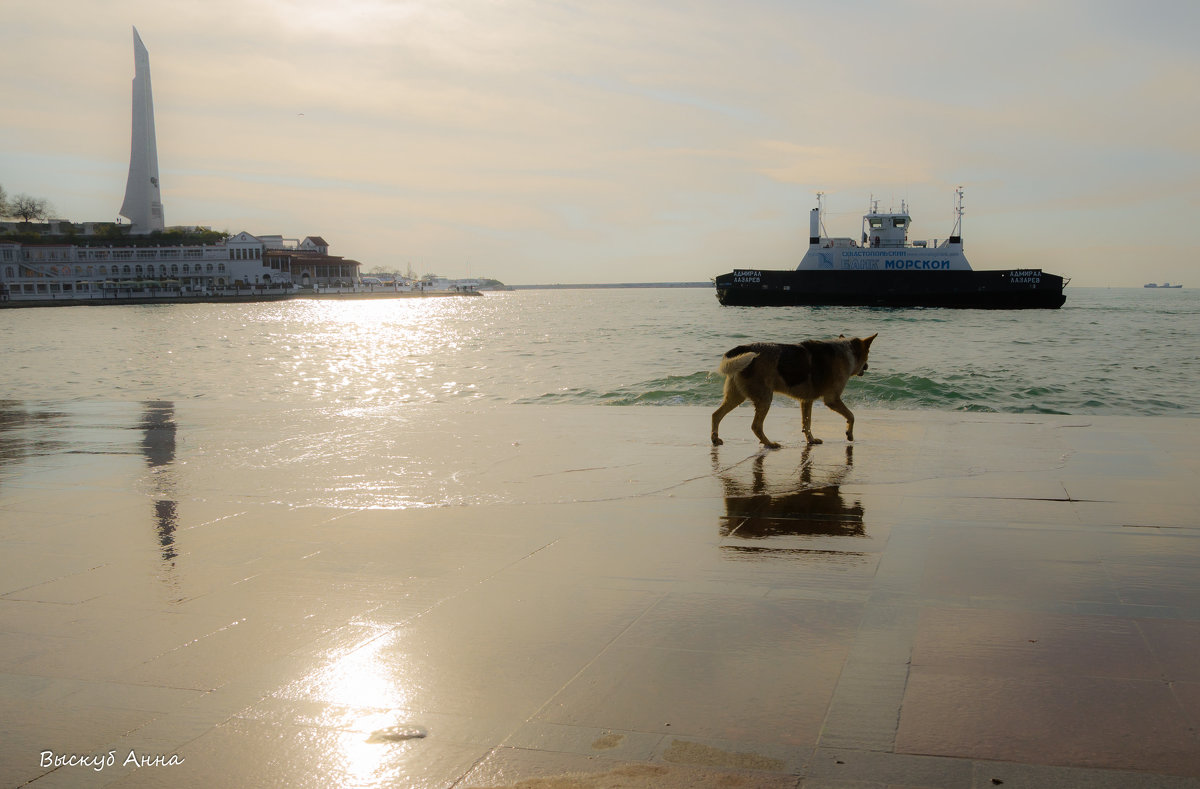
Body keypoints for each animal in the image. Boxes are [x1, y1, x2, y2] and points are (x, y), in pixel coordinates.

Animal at [705, 330, 878, 446]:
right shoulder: (832, 399)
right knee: (756, 426)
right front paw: (849, 434)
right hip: (764, 398)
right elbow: (851, 416)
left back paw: (715, 438)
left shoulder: (806, 401)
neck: (846, 351)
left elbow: (806, 423)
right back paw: (769, 444)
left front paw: (811, 440)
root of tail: (741, 349)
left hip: (736, 396)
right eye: (868, 355)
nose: (867, 367)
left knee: (716, 415)